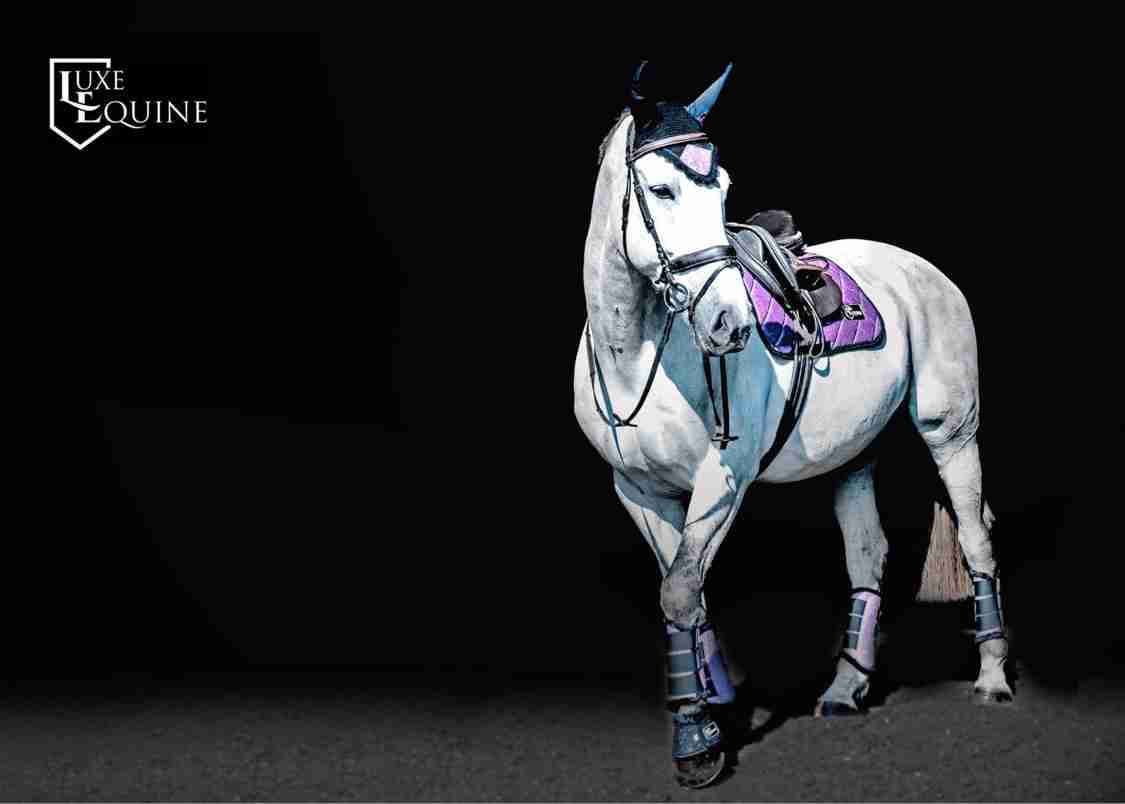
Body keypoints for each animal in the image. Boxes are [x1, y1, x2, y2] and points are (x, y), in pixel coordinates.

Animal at [572, 63, 1011, 789]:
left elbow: (679, 591)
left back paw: (993, 678)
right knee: (866, 554)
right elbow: (683, 591)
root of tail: (920, 269)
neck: (636, 354)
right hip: (853, 455)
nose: (728, 323)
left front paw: (695, 741)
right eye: (660, 189)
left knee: (977, 541)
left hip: (951, 432)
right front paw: (712, 696)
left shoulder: (721, 481)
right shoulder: (635, 490)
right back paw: (844, 689)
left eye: (722, 187)